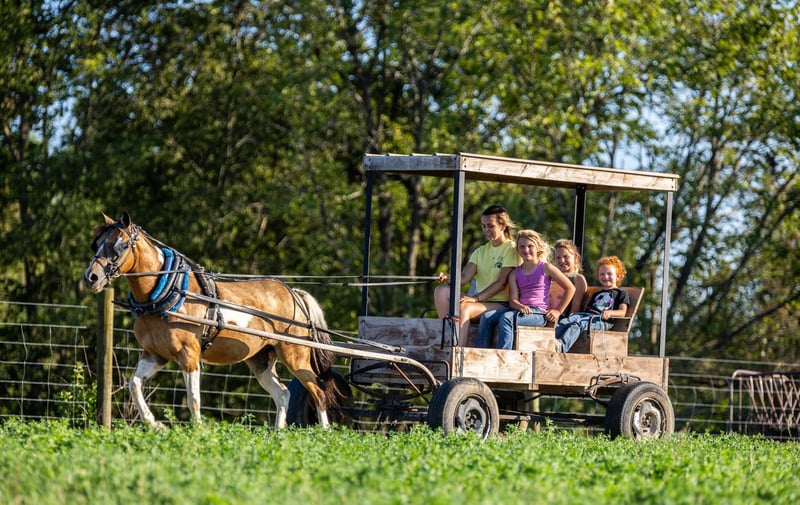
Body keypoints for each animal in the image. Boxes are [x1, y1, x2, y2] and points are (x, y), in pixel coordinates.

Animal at [83, 211, 341, 429]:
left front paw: (198, 431)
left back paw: (325, 432)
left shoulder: (189, 354)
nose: (91, 277)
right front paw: (154, 424)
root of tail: (293, 293)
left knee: (318, 391)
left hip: (295, 355)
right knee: (283, 394)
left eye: (121, 244)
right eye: (96, 243)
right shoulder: (155, 354)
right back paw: (278, 433)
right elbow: (134, 385)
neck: (167, 293)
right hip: (261, 360)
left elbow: (193, 399)